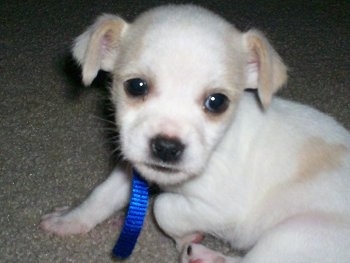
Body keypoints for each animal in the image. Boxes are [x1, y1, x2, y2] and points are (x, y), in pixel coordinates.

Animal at [41, 4, 350, 263]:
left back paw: (205, 255)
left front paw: (185, 236)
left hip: (293, 236)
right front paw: (70, 219)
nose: (167, 147)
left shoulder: (224, 210)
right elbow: (102, 195)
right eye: (136, 86)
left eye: (217, 102)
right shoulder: (134, 169)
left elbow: (164, 207)